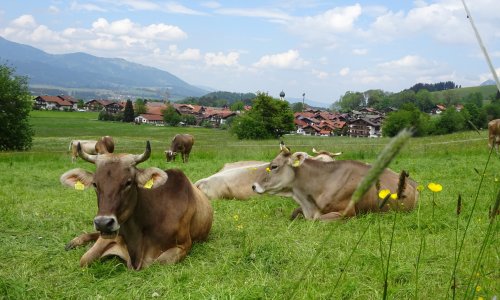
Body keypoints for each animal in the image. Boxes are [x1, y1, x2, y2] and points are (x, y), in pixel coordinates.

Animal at [60, 141, 213, 270]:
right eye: (95, 184)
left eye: (128, 182)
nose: (103, 223)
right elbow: (85, 259)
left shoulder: (184, 245)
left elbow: (160, 262)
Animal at [252, 145, 420, 220]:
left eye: (274, 166)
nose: (253, 185)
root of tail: (413, 183)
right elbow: (293, 213)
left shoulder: (346, 213)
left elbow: (317, 220)